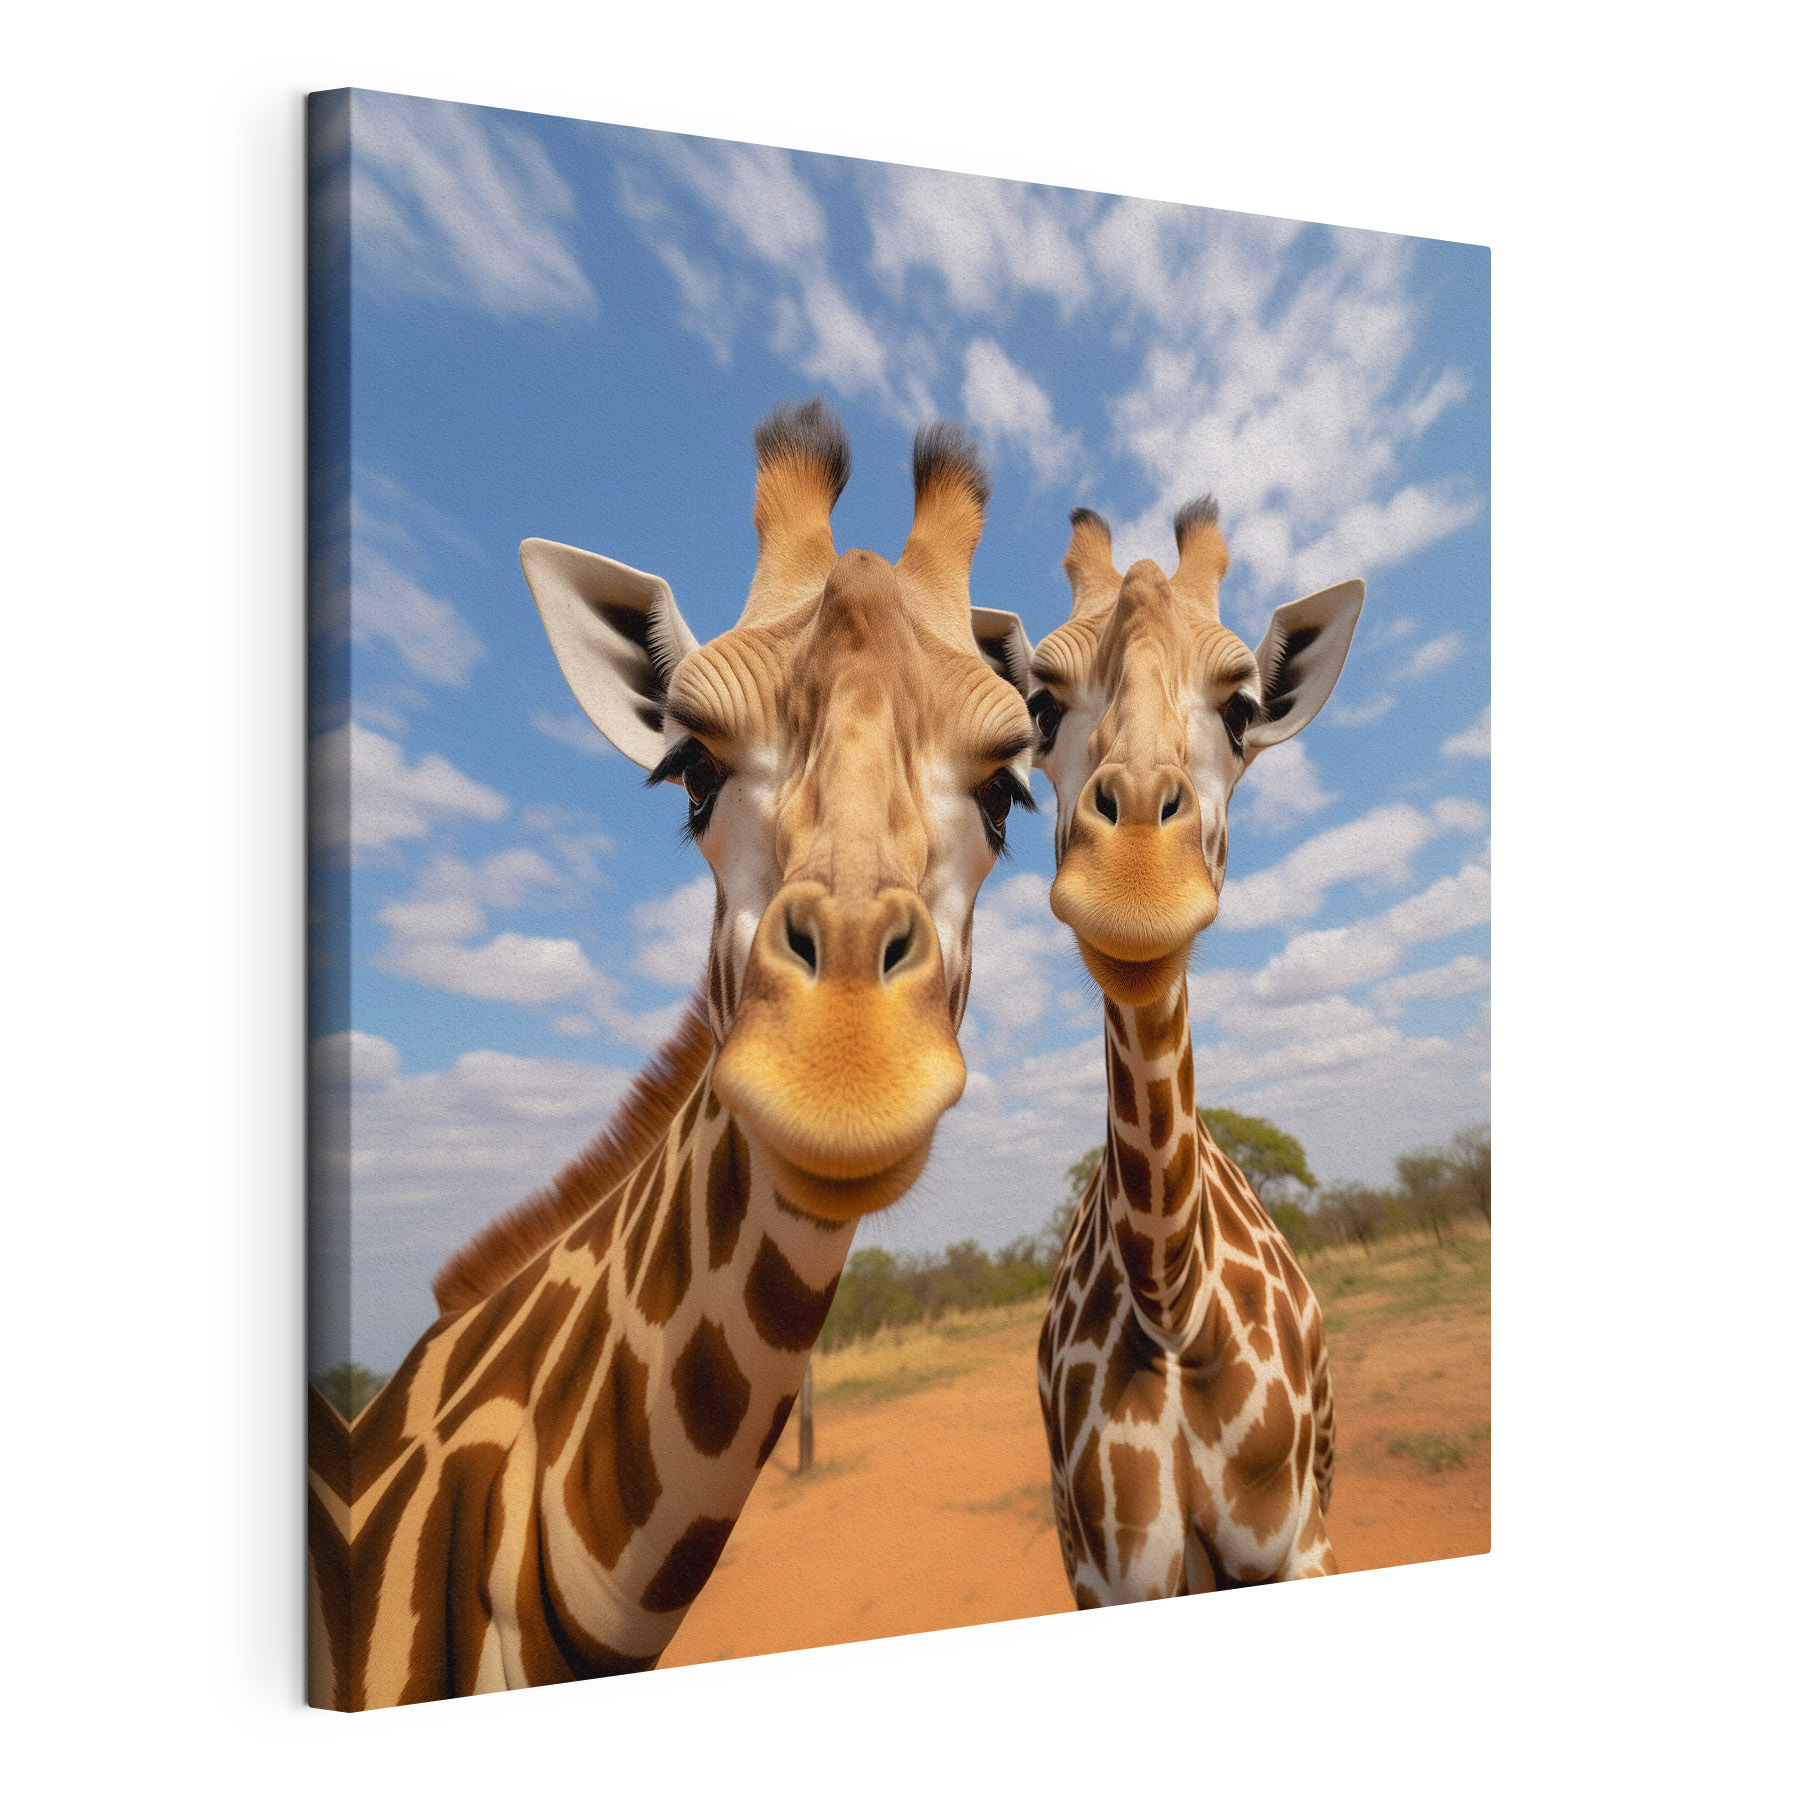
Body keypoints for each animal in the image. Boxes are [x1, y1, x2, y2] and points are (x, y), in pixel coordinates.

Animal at [1017, 499, 1364, 1604]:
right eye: (1040, 703)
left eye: (1243, 706)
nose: (1134, 884)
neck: (1176, 1302)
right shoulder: (1113, 1572)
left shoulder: (1296, 1543)